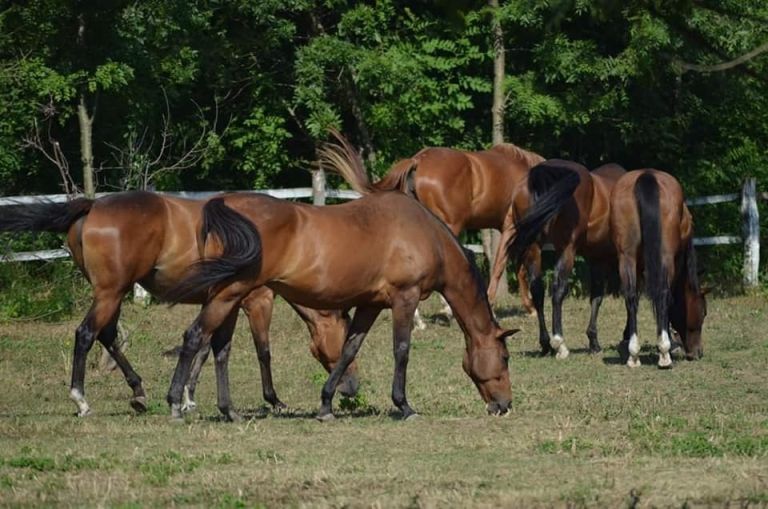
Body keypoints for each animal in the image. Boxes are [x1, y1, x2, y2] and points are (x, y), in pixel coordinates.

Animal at [0, 192, 358, 418]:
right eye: (344, 336)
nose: (352, 388)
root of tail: (92, 205)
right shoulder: (256, 301)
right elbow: (261, 351)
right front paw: (273, 400)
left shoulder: (224, 301)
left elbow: (205, 348)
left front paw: (188, 397)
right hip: (110, 292)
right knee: (87, 333)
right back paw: (81, 400)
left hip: (112, 293)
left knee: (108, 335)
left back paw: (138, 393)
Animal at [165, 153, 520, 422]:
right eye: (504, 357)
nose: (504, 405)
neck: (426, 234)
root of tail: (222, 205)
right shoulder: (405, 298)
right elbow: (402, 350)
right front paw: (404, 405)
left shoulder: (371, 304)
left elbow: (350, 348)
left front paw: (326, 404)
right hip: (229, 294)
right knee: (195, 337)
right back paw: (176, 405)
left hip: (228, 295)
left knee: (219, 347)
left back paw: (228, 411)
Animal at [488, 163, 628, 358]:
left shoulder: (597, 260)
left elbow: (596, 297)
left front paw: (594, 341)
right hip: (565, 250)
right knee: (557, 290)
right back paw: (559, 343)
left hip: (534, 248)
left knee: (537, 291)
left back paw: (545, 343)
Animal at [608, 170, 704, 366]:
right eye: (703, 313)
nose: (698, 352)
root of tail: (646, 175)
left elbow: (635, 296)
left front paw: (626, 341)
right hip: (665, 256)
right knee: (663, 294)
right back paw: (665, 353)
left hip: (627, 256)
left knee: (630, 297)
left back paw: (633, 354)